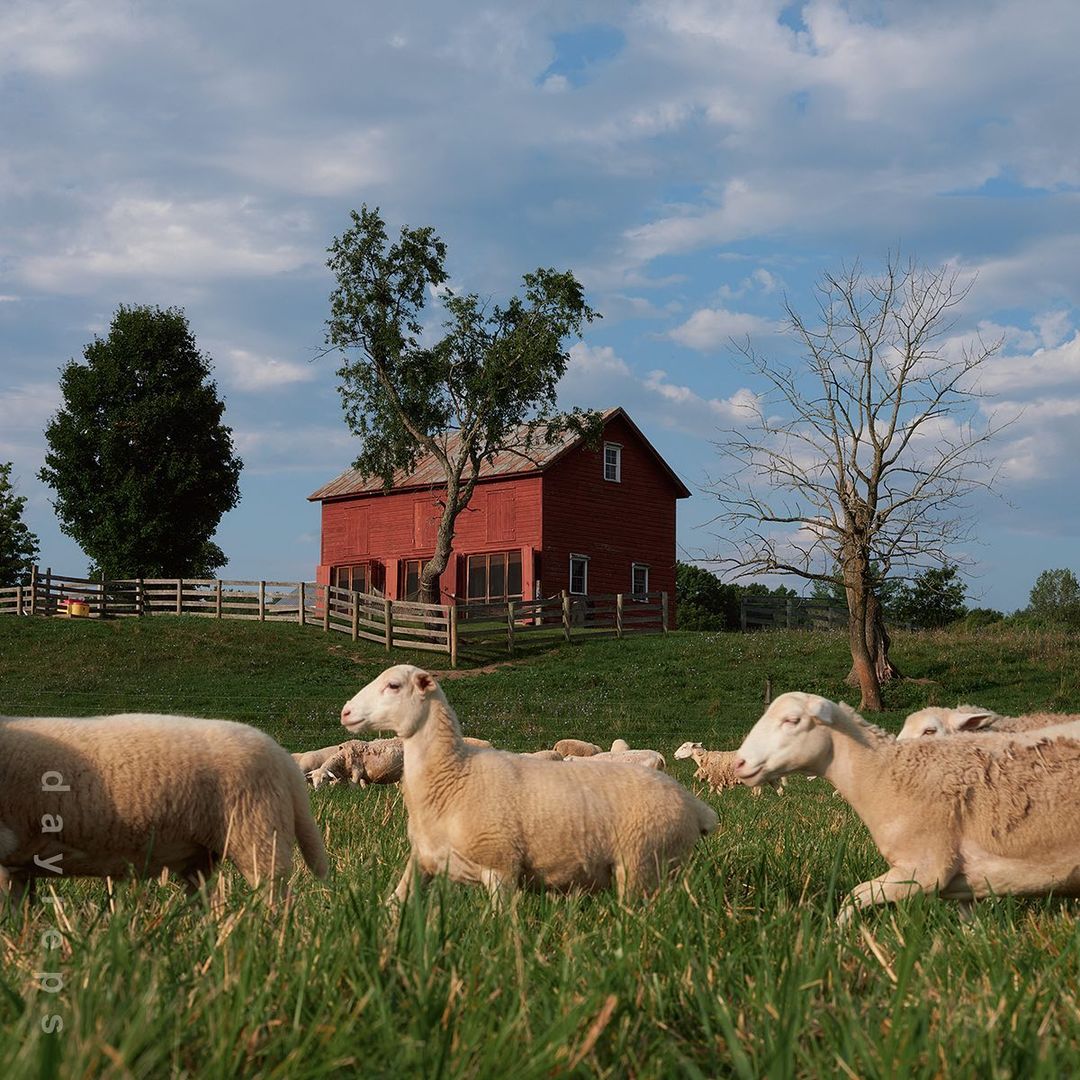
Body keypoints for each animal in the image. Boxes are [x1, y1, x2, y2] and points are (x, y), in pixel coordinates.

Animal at [339, 665, 718, 903]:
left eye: (393, 685)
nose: (345, 711)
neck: (454, 775)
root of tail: (696, 806)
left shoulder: (500, 867)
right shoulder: (423, 861)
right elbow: (395, 902)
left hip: (644, 865)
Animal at [733, 692, 1080, 922]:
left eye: (792, 720)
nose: (739, 763)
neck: (886, 774)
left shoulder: (923, 870)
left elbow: (853, 898)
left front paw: (838, 940)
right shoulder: (968, 883)